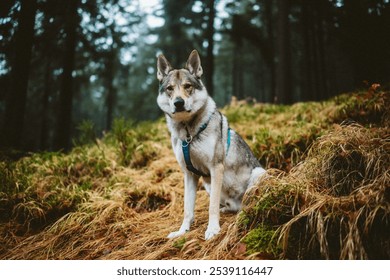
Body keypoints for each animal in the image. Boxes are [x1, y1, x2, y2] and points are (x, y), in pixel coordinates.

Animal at [157, 49, 266, 240]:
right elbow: (187, 210)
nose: (178, 103)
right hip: (208, 185)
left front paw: (213, 230)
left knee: (246, 203)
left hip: (257, 173)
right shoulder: (189, 174)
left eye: (187, 86)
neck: (188, 133)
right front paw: (182, 231)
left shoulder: (216, 168)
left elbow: (211, 207)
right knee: (231, 206)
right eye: (170, 89)